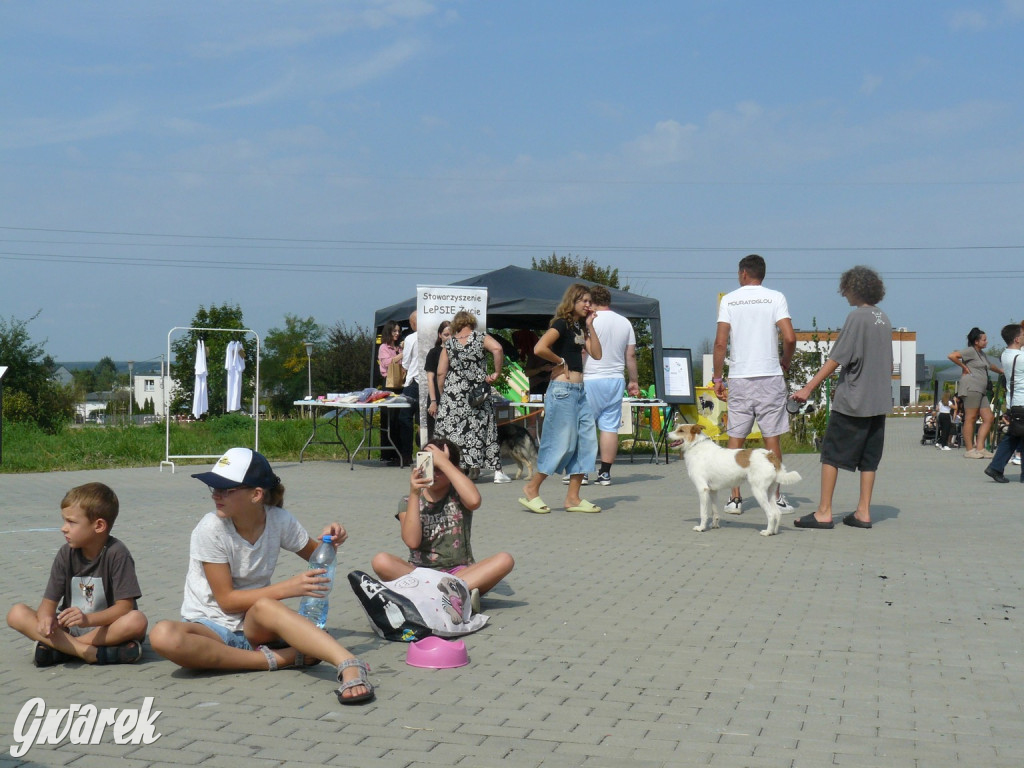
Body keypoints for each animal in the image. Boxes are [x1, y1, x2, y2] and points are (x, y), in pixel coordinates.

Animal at [667, 423, 802, 536]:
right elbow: (714, 511)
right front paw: (714, 525)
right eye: (676, 428)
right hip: (770, 493)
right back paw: (774, 531)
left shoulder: (702, 489)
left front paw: (701, 527)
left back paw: (767, 532)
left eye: (681, 430)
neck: (696, 446)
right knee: (777, 513)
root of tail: (769, 455)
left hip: (758, 491)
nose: (667, 434)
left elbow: (703, 513)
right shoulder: (712, 491)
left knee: (771, 513)